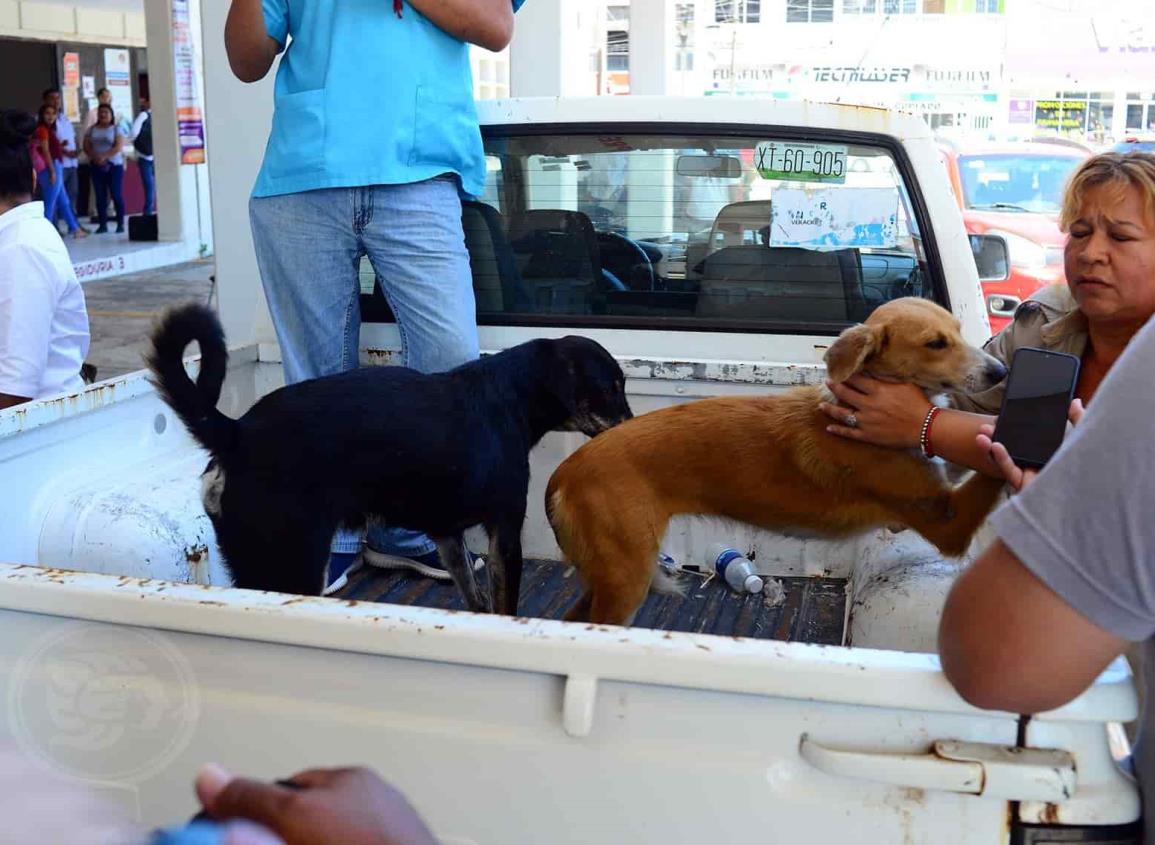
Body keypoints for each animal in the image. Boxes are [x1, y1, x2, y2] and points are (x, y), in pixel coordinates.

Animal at [146, 304, 632, 614]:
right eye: (610, 387)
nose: (633, 425)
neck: (510, 396)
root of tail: (236, 433)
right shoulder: (504, 533)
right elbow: (504, 606)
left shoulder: (448, 536)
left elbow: (475, 599)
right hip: (292, 560)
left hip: (255, 561)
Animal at [545, 297, 1007, 627]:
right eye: (935, 343)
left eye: (959, 332)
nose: (1001, 372)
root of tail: (564, 473)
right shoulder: (949, 523)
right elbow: (992, 462)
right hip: (625, 578)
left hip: (611, 575)